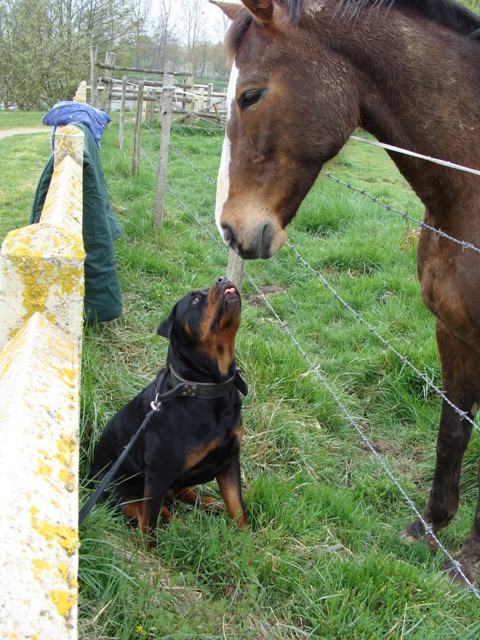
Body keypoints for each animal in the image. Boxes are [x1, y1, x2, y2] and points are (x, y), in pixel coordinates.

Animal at [88, 276, 249, 540]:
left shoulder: (229, 462)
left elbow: (238, 509)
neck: (206, 388)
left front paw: (247, 541)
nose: (222, 279)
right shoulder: (158, 475)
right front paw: (149, 548)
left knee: (181, 494)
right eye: (195, 299)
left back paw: (208, 503)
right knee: (157, 513)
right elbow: (149, 528)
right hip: (119, 495)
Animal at [214, 0, 480, 584]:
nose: (230, 229)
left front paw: (471, 557)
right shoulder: (452, 331)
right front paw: (429, 527)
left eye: (251, 94)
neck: (467, 198)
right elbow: (453, 430)